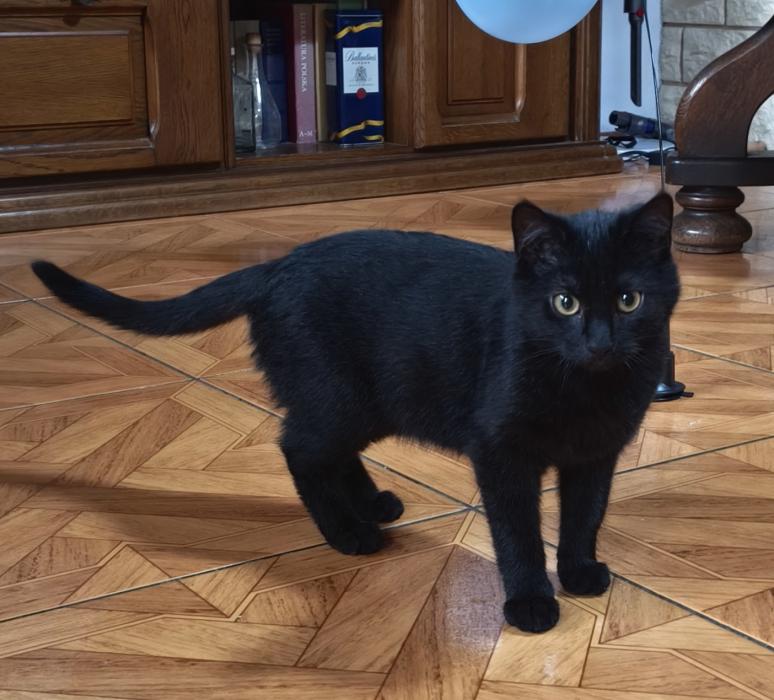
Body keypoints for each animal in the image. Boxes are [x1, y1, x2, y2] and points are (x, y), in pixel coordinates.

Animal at [31, 192, 679, 633]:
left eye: (629, 300)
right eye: (564, 303)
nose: (600, 343)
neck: (585, 386)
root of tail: (276, 266)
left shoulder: (597, 452)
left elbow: (585, 515)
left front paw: (579, 571)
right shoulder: (500, 453)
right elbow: (517, 530)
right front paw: (530, 602)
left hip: (368, 402)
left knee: (330, 453)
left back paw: (371, 505)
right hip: (341, 398)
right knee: (298, 449)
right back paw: (348, 533)